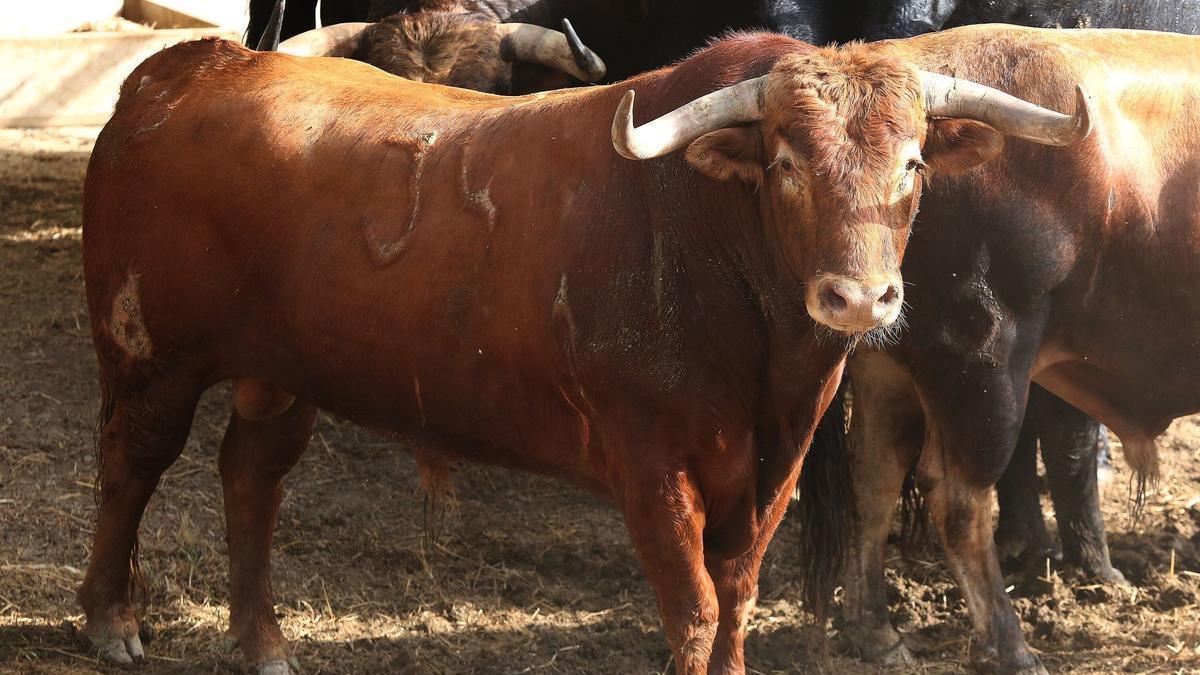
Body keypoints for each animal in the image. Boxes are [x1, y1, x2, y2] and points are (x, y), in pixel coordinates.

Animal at [75, 23, 1089, 667]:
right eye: (785, 161)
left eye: (913, 161)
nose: (860, 297)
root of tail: (180, 69)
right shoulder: (649, 462)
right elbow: (695, 609)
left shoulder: (775, 465)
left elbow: (737, 600)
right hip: (149, 356)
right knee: (130, 466)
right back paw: (110, 620)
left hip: (277, 372)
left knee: (251, 475)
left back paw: (264, 645)